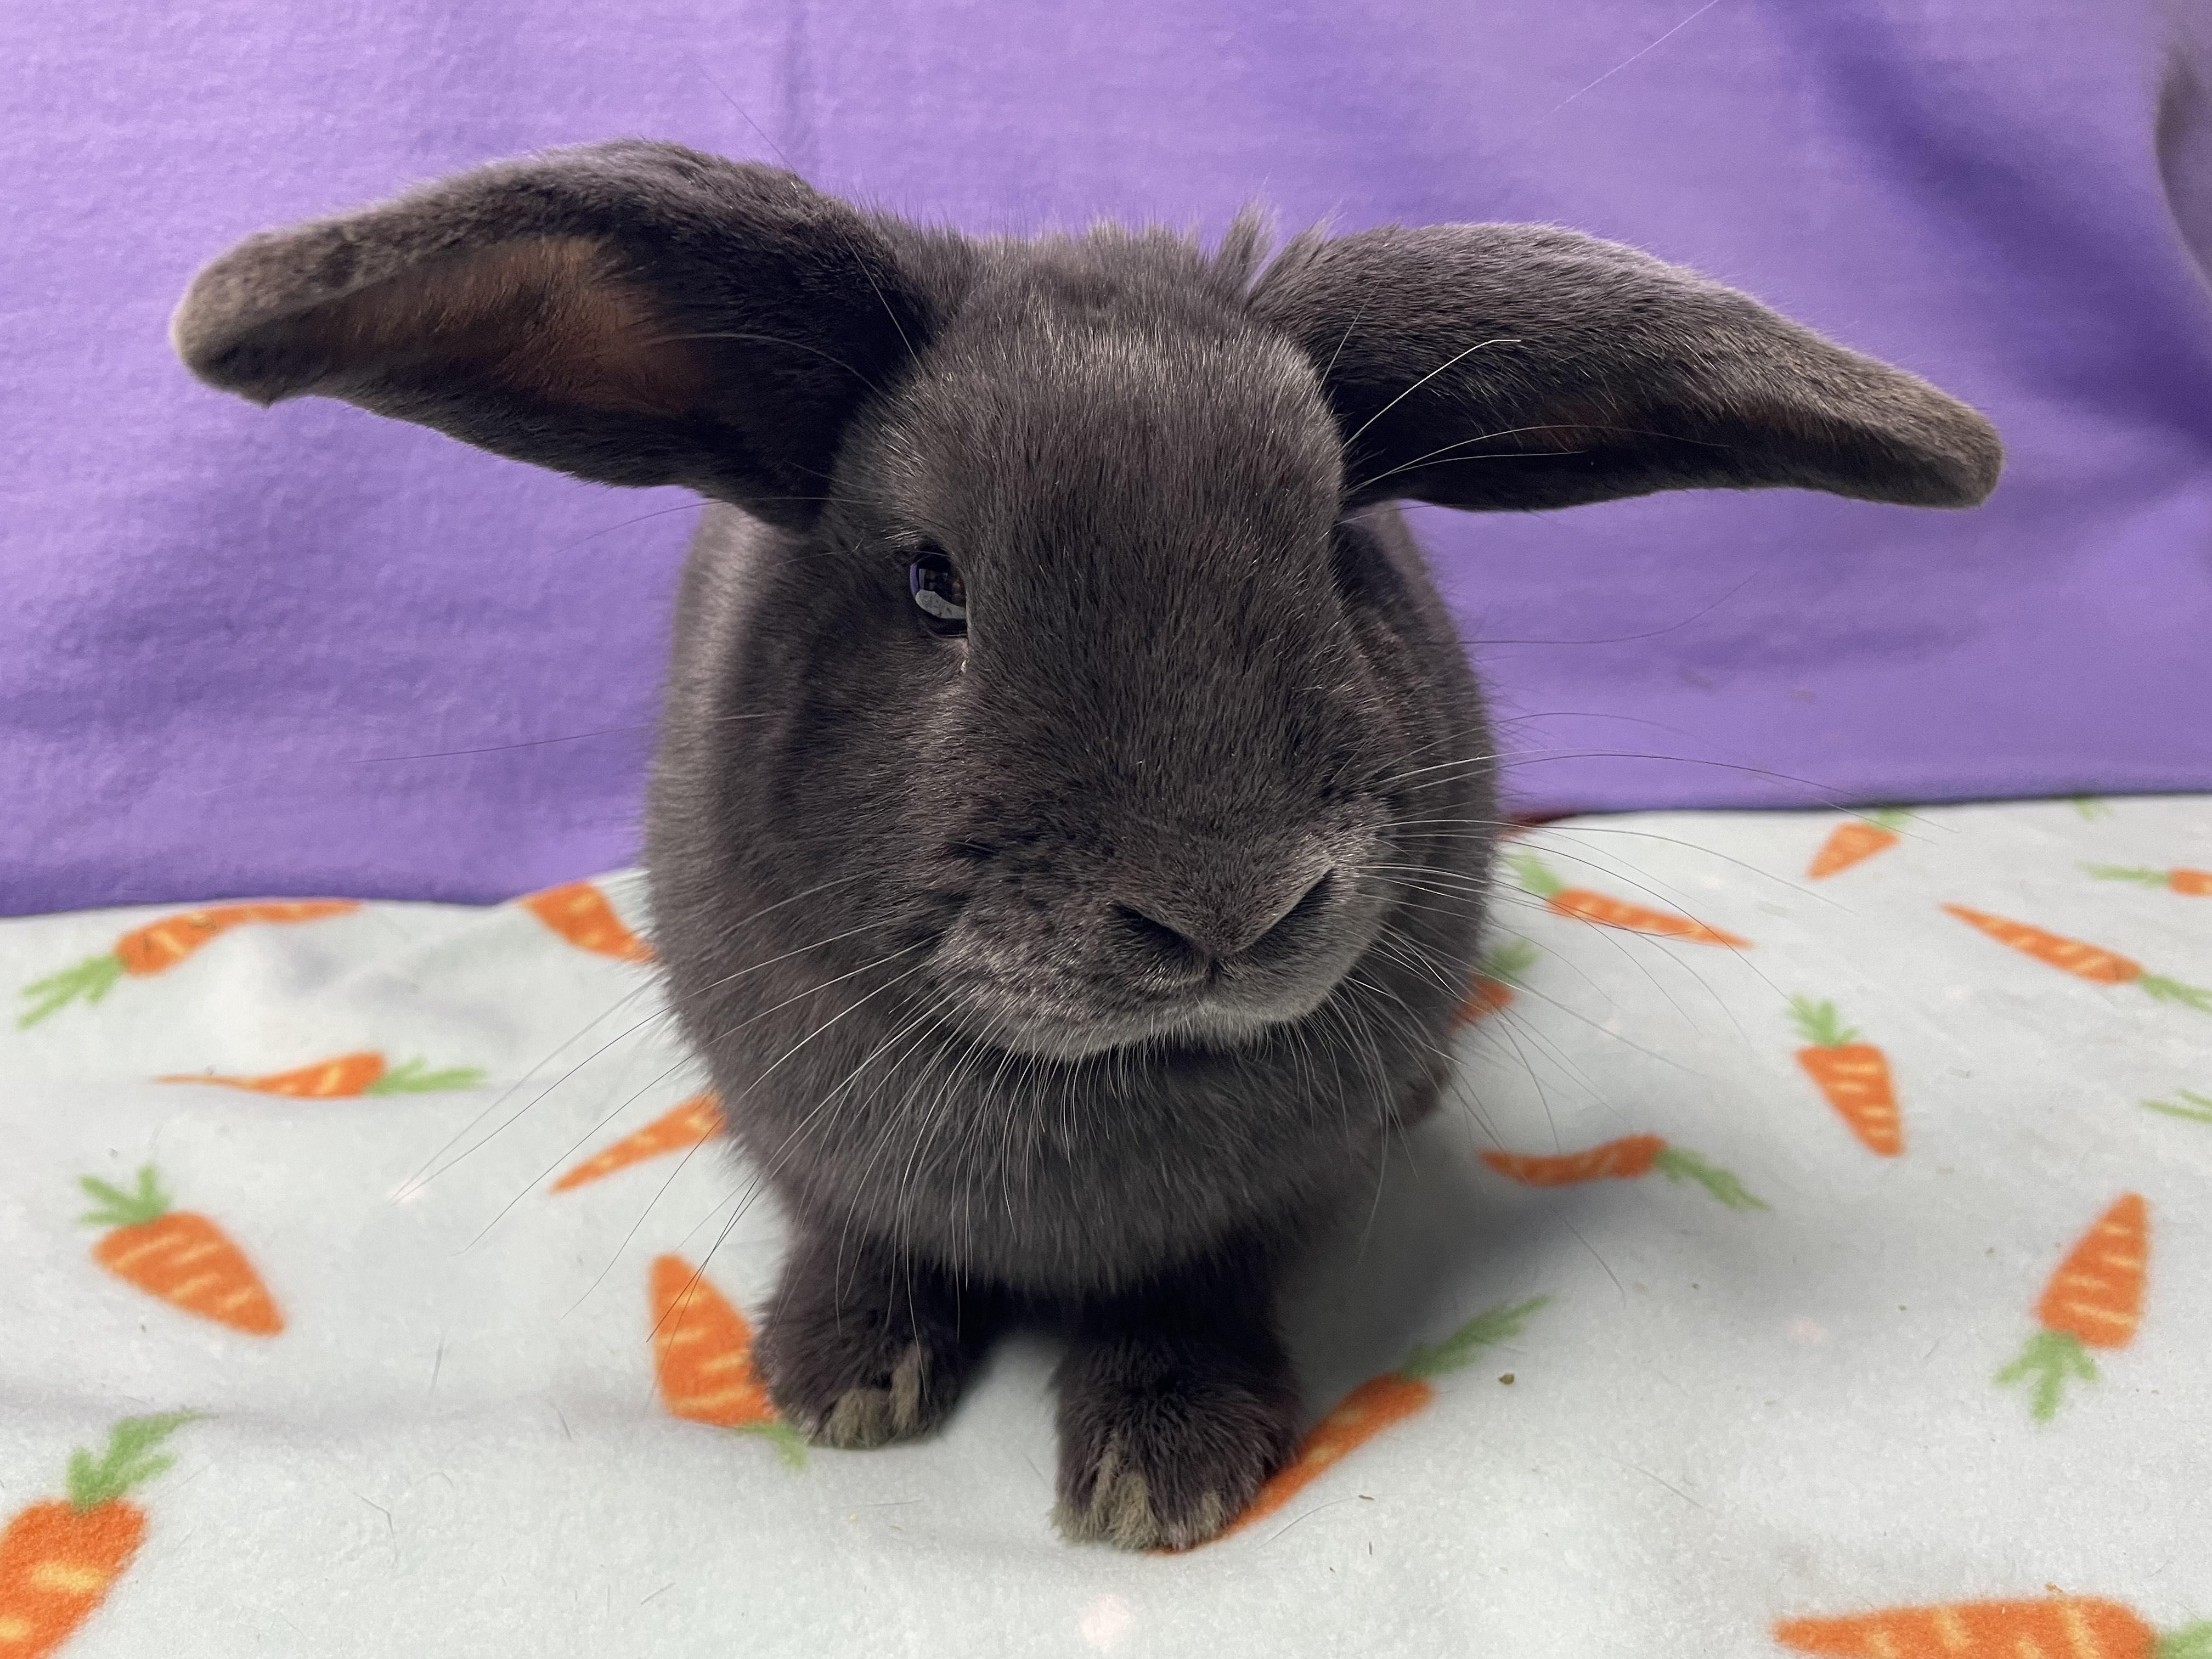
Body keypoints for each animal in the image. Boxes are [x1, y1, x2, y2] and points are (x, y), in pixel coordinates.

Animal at [171, 139, 2000, 1550]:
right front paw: (834, 1382)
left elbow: (1183, 1299)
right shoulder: (808, 1137)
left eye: (1333, 546)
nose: (1228, 908)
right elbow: (865, 1239)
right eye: (934, 583)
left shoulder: (1240, 1225)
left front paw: (1160, 1474)